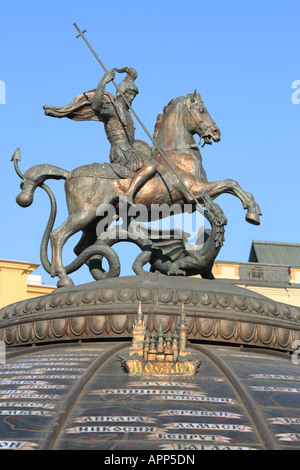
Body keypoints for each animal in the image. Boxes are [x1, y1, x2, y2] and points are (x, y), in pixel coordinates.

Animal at [15, 90, 262, 284]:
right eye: (201, 109)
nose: (216, 133)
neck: (176, 156)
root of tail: (69, 174)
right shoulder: (195, 191)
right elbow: (231, 183)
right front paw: (252, 212)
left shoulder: (195, 199)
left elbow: (232, 185)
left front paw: (253, 211)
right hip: (83, 214)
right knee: (57, 236)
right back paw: (63, 277)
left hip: (95, 220)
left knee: (80, 248)